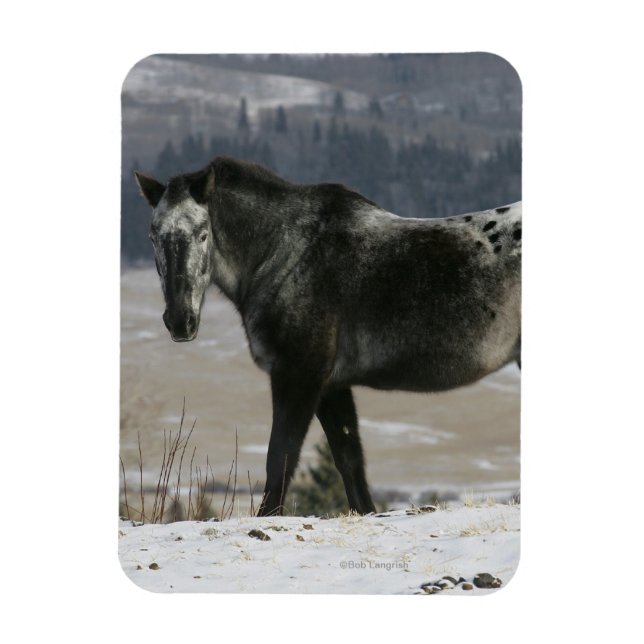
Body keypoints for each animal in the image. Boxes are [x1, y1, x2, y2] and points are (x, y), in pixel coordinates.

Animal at [135, 156, 521, 517]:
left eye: (203, 233)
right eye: (152, 236)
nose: (180, 321)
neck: (285, 254)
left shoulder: (298, 375)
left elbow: (281, 457)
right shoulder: (331, 385)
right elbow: (349, 460)